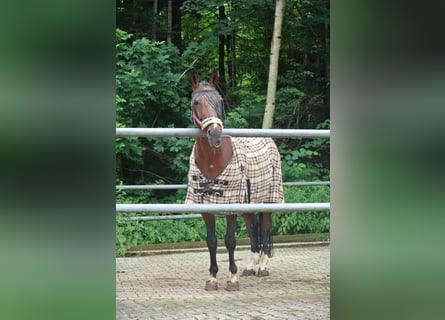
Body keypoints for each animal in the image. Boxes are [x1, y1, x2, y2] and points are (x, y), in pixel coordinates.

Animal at [185, 71, 282, 292]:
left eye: (220, 100)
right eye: (196, 102)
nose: (215, 134)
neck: (213, 162)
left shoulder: (231, 206)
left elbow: (230, 240)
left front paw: (232, 278)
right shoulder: (206, 208)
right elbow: (211, 241)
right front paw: (212, 278)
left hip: (268, 201)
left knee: (264, 231)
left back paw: (262, 267)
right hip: (248, 204)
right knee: (253, 231)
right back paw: (250, 266)